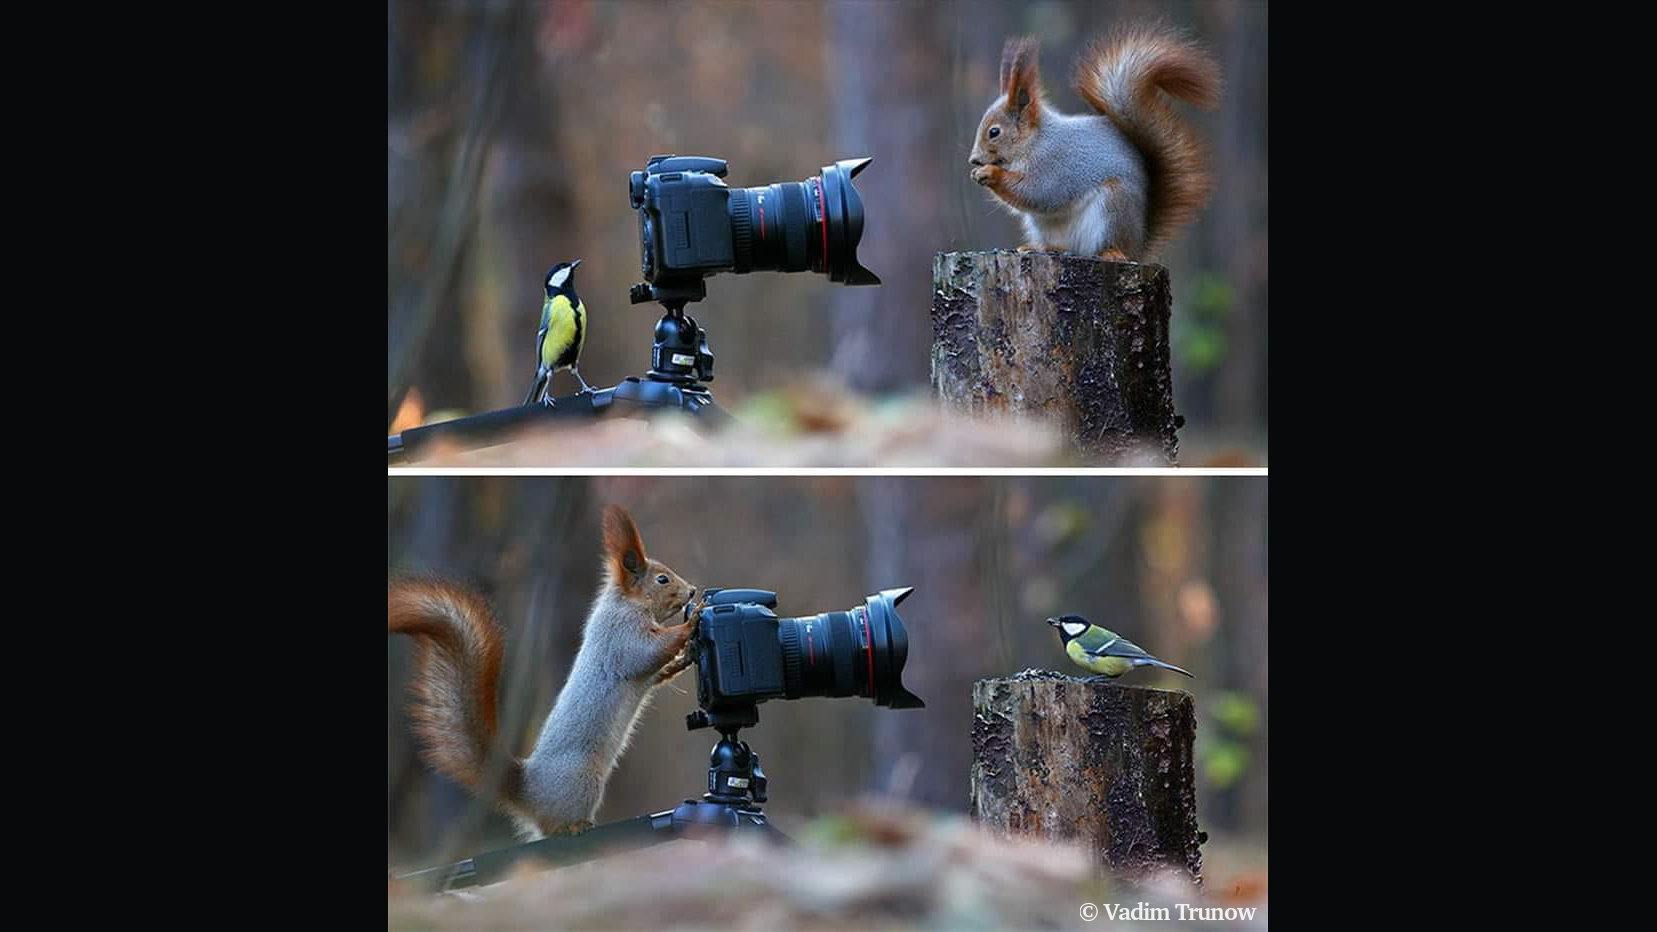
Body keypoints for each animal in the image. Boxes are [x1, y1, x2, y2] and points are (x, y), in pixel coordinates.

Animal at [389, 504, 699, 839]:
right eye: (662, 580)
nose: (693, 591)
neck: (626, 603)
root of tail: (529, 793)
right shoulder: (620, 636)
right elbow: (646, 652)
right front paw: (691, 623)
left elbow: (656, 673)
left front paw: (683, 659)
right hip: (583, 780)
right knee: (554, 827)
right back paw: (575, 826)